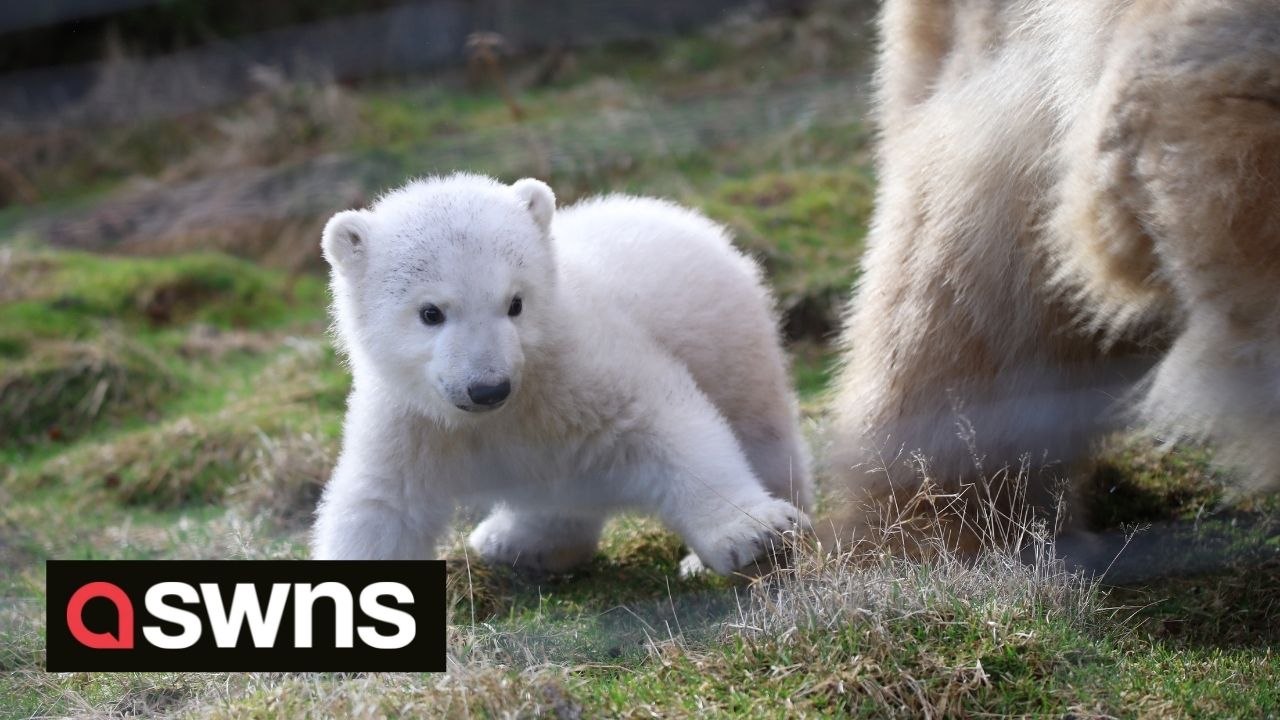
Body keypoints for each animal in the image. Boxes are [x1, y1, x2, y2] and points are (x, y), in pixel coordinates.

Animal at [310, 173, 811, 576]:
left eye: (515, 302)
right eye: (430, 312)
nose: (488, 387)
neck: (502, 413)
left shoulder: (579, 365)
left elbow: (666, 423)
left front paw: (755, 533)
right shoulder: (412, 421)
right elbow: (381, 503)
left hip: (731, 342)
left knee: (759, 430)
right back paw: (516, 541)